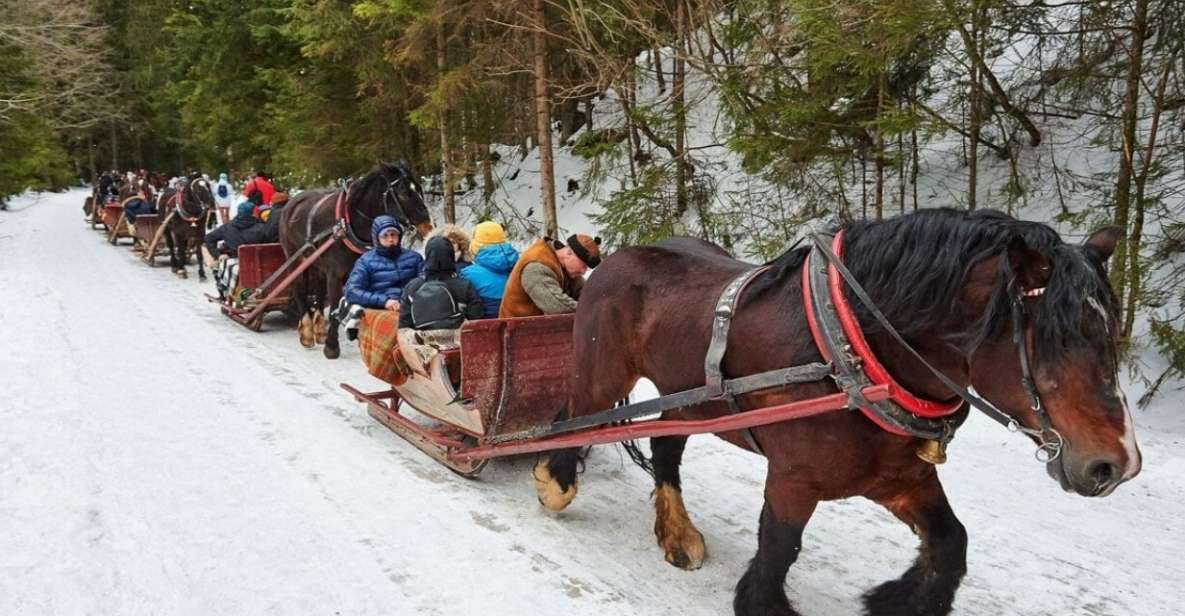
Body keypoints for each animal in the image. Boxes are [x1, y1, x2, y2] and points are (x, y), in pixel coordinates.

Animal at [279, 159, 433, 360]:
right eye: (403, 193)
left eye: (419, 189)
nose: (428, 227)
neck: (347, 224)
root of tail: (291, 202)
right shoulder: (335, 275)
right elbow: (335, 308)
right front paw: (332, 347)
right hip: (295, 258)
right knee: (298, 288)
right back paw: (306, 332)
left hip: (317, 262)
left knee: (318, 291)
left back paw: (319, 330)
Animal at [535, 208, 1137, 616]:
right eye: (1055, 339)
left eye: (1109, 332)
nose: (1117, 465)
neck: (854, 352)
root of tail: (618, 257)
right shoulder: (794, 479)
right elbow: (777, 555)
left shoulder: (900, 476)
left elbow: (951, 543)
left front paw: (894, 599)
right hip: (601, 372)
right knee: (571, 417)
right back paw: (555, 482)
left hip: (693, 399)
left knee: (665, 443)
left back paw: (677, 533)